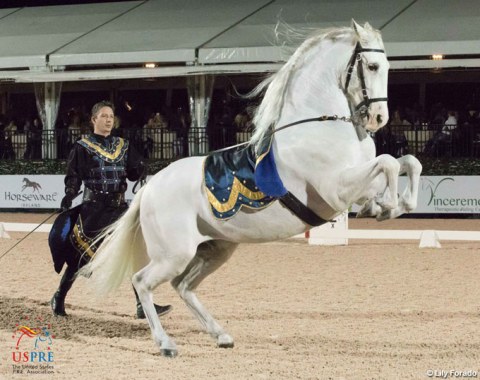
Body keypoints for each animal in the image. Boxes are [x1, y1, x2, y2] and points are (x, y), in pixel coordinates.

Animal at [82, 20, 420, 358]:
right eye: (372, 66)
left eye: (388, 67)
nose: (379, 118)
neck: (319, 125)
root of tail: (150, 188)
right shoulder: (335, 190)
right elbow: (389, 163)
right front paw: (387, 206)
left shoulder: (358, 180)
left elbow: (407, 163)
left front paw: (388, 205)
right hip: (174, 254)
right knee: (142, 282)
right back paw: (166, 344)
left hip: (215, 249)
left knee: (183, 286)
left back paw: (221, 335)